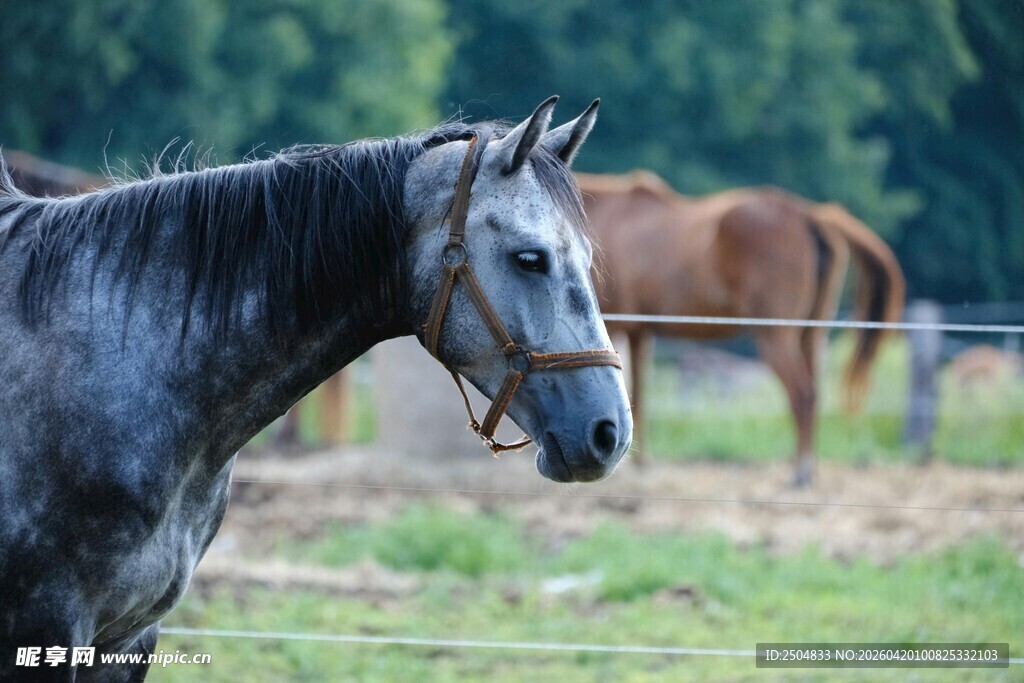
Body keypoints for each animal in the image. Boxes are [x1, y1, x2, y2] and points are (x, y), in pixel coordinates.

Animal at [579, 170, 904, 486]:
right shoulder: (639, 331)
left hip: (776, 338)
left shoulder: (617, 327)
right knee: (813, 394)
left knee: (803, 395)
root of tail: (811, 215)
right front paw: (642, 463)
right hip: (811, 334)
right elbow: (639, 394)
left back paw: (801, 471)